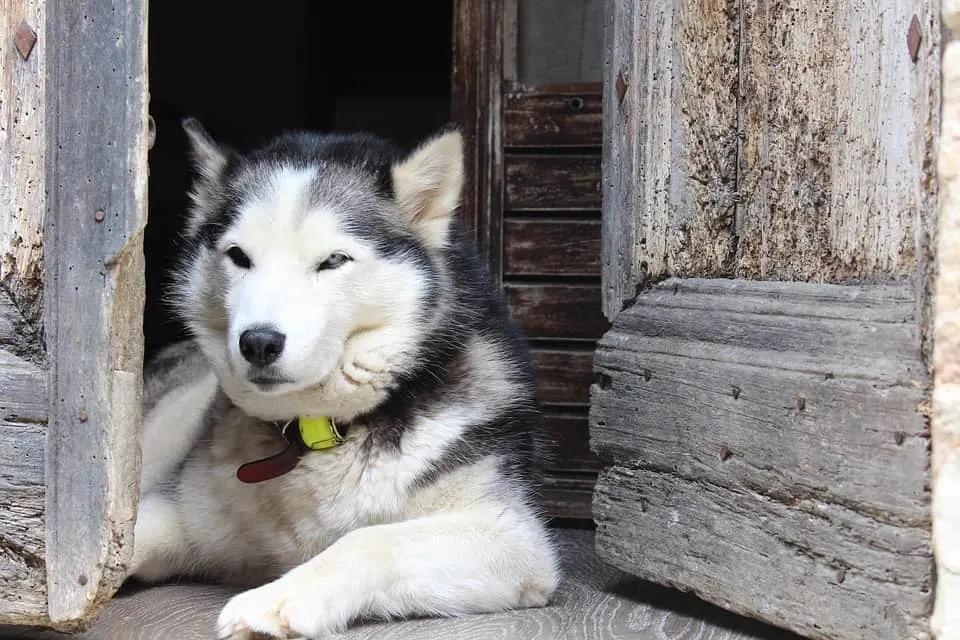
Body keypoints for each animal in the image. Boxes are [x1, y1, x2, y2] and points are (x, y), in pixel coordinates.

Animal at [131, 121, 560, 640]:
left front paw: (277, 599)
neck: (313, 435)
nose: (258, 342)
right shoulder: (183, 510)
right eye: (238, 256)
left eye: (333, 260)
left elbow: (369, 540)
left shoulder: (513, 541)